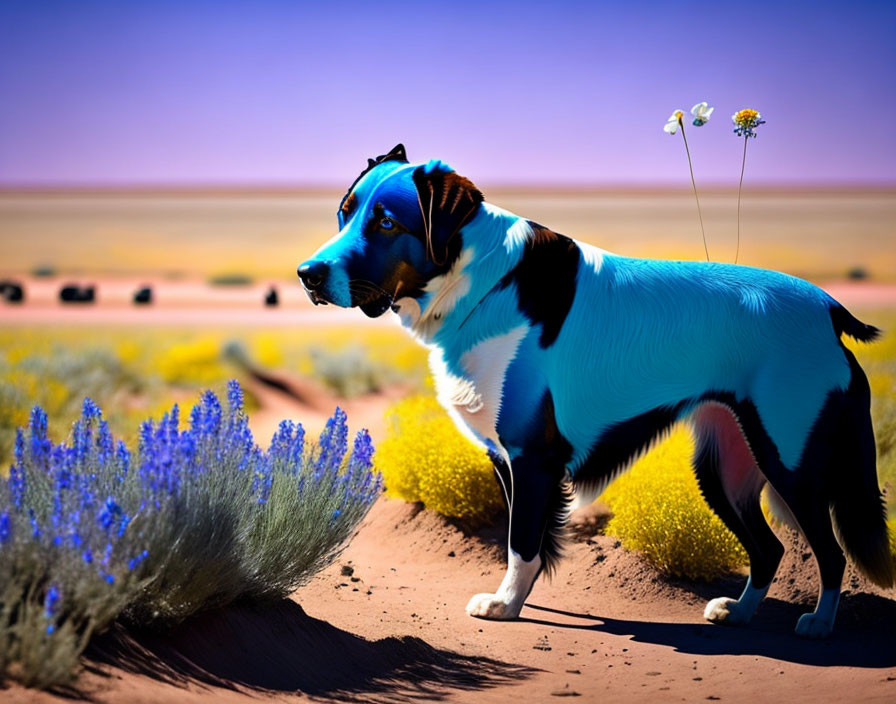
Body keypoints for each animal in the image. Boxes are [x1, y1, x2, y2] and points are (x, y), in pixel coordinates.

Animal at [298, 144, 892, 640]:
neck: (481, 280)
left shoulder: (531, 455)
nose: (307, 274)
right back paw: (741, 612)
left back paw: (819, 624)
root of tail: (826, 307)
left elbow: (522, 541)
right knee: (768, 548)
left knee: (831, 552)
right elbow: (526, 540)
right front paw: (518, 599)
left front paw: (505, 606)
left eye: (386, 222)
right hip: (723, 464)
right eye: (345, 213)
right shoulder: (508, 459)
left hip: (791, 461)